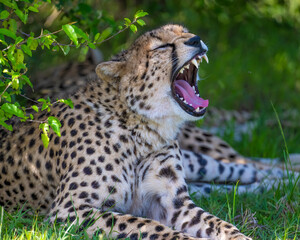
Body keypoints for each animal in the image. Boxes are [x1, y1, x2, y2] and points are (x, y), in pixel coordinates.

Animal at [0, 24, 296, 240]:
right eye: (163, 46)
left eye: (185, 31)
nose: (197, 39)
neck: (141, 127)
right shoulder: (70, 212)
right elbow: (149, 226)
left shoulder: (173, 202)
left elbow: (217, 223)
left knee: (245, 169)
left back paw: (287, 176)